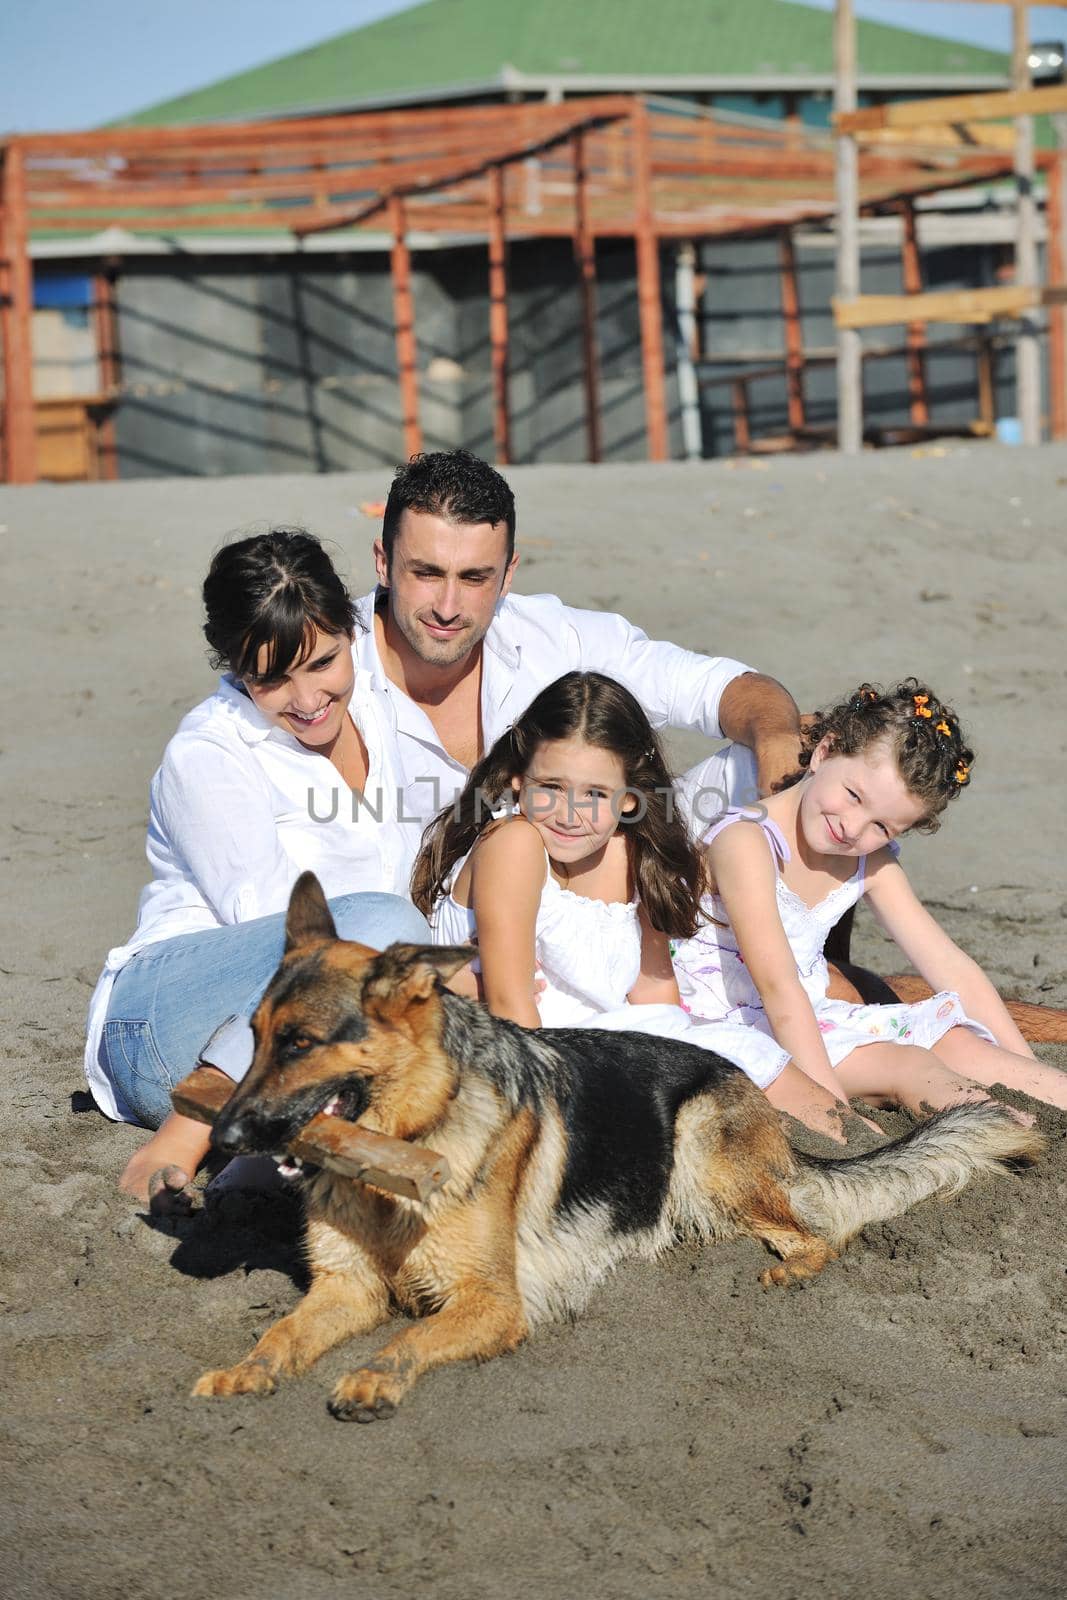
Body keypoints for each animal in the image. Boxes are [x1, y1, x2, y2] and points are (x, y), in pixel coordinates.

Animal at [194, 876, 1043, 1427]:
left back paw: (784, 1269)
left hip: (701, 1144)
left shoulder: (490, 1303)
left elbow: (411, 1336)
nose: (219, 1140)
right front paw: (245, 1368)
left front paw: (371, 1378)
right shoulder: (345, 1290)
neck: (409, 1137)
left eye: (300, 1043)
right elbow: (281, 1333)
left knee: (813, 1232)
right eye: (254, 1037)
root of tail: (751, 1083)